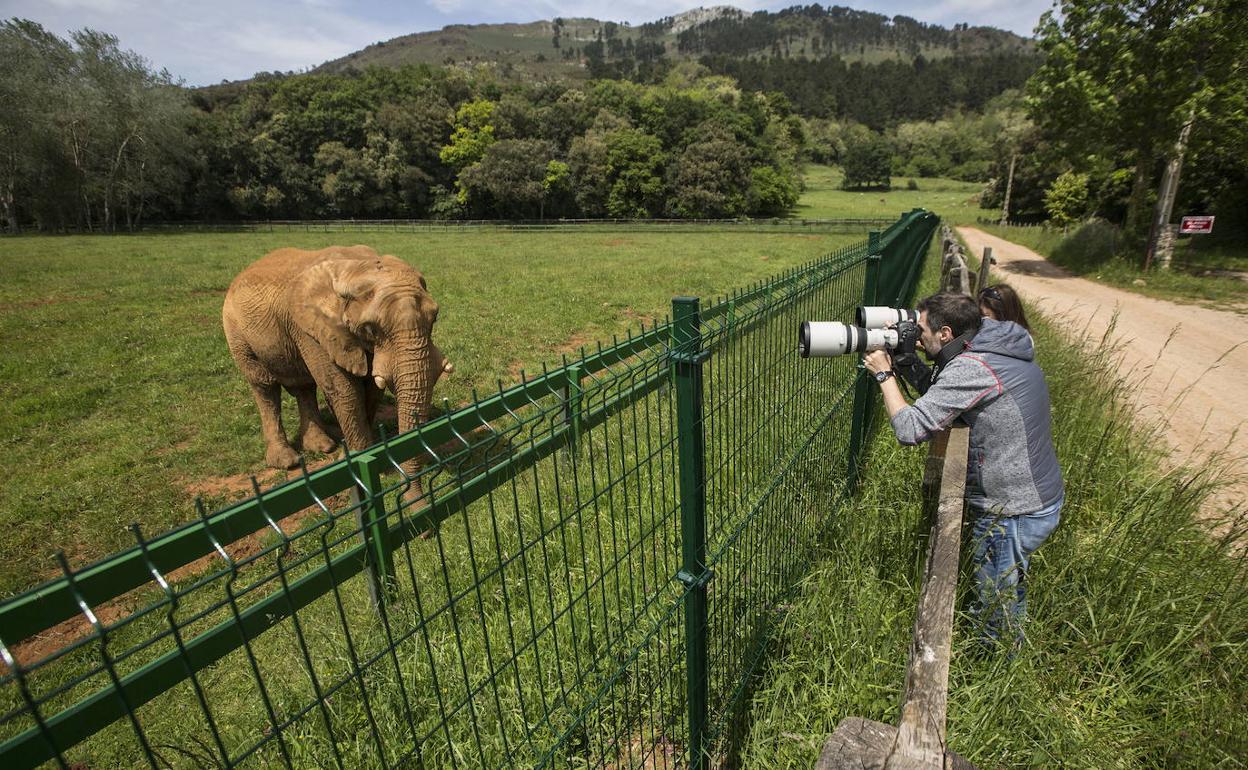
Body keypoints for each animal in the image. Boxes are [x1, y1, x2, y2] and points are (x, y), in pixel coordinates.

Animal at [224, 245, 454, 496]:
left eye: (435, 318)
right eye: (371, 328)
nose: (414, 496)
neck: (355, 267)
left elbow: (371, 389)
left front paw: (372, 456)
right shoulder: (311, 329)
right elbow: (345, 391)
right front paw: (366, 462)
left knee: (304, 386)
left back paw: (322, 446)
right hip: (237, 333)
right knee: (265, 387)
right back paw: (287, 461)